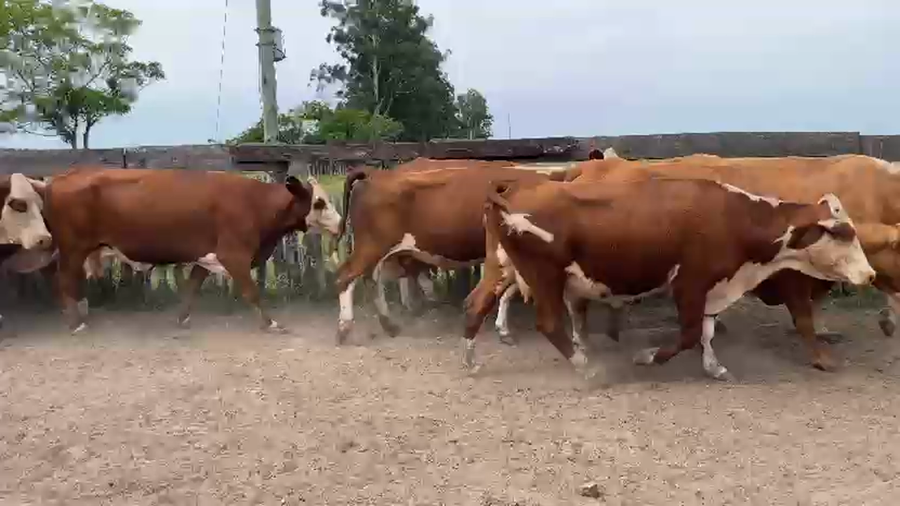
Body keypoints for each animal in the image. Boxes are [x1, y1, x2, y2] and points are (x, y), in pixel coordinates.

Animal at [42, 167, 341, 334]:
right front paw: (270, 323)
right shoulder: (234, 255)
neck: (254, 202)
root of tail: (59, 178)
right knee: (63, 281)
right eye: (319, 202)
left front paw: (182, 317)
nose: (339, 223)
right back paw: (76, 324)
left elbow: (193, 287)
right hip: (73, 249)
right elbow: (252, 291)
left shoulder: (205, 257)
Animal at [333, 164, 569, 344]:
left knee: (372, 279)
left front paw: (503, 329)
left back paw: (389, 326)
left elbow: (509, 291)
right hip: (371, 246)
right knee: (346, 277)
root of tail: (375, 174)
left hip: (377, 250)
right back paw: (344, 328)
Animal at [465, 176, 875, 382]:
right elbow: (690, 334)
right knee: (549, 323)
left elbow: (707, 331)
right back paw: (588, 368)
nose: (869, 273)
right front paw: (647, 356)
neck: (733, 219)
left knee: (475, 305)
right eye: (841, 232)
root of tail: (514, 188)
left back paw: (471, 361)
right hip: (544, 274)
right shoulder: (690, 284)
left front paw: (713, 367)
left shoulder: (714, 286)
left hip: (502, 267)